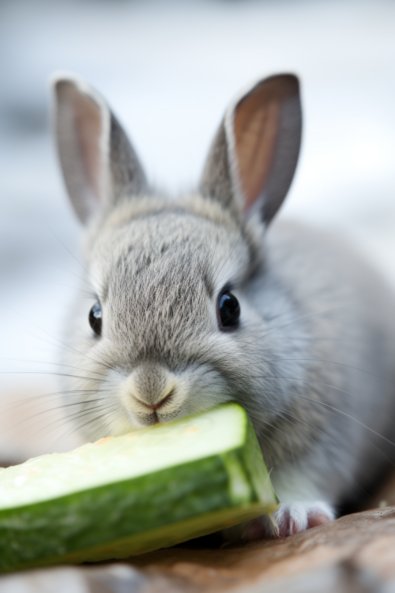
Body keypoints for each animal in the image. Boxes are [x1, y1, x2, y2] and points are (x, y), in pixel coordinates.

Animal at [51, 73, 395, 536]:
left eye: (229, 307)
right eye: (95, 317)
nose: (151, 392)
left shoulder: (324, 436)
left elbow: (304, 477)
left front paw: (295, 516)